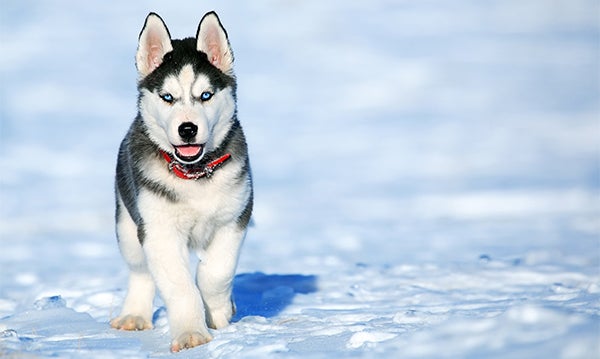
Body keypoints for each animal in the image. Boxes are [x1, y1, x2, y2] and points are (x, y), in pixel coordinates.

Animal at [110, 11, 253, 354]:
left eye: (205, 95)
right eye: (168, 98)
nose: (187, 129)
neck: (194, 174)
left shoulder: (234, 218)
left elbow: (216, 272)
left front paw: (219, 310)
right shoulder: (158, 230)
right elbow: (179, 285)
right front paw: (192, 334)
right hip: (127, 225)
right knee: (140, 271)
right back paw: (134, 315)